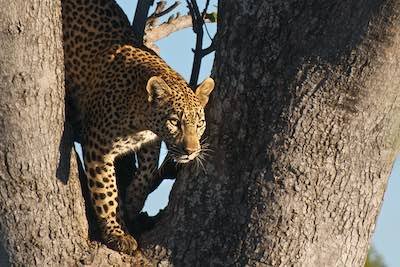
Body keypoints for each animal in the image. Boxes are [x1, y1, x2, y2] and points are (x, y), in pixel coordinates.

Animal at [61, 0, 214, 256]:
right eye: (175, 122)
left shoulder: (150, 141)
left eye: (199, 124)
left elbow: (147, 171)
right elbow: (106, 191)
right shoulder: (97, 146)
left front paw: (133, 202)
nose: (191, 152)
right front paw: (118, 233)